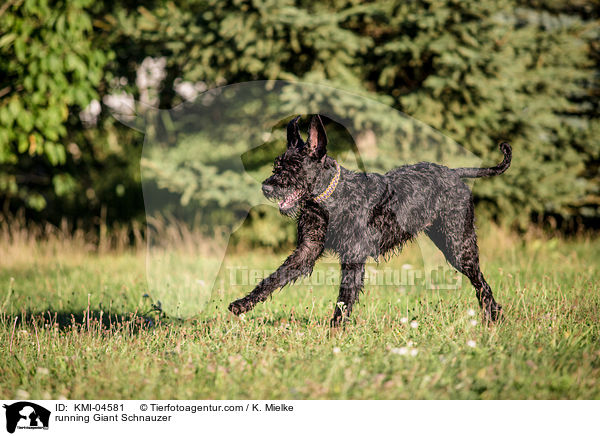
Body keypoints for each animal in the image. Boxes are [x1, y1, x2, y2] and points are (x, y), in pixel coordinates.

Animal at [230, 114, 510, 326]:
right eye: (277, 165)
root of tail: (454, 172)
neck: (331, 199)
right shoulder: (307, 250)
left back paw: (493, 318)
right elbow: (274, 278)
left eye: (295, 166)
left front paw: (334, 334)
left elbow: (344, 299)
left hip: (459, 246)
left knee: (482, 284)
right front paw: (243, 304)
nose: (266, 187)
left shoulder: (353, 256)